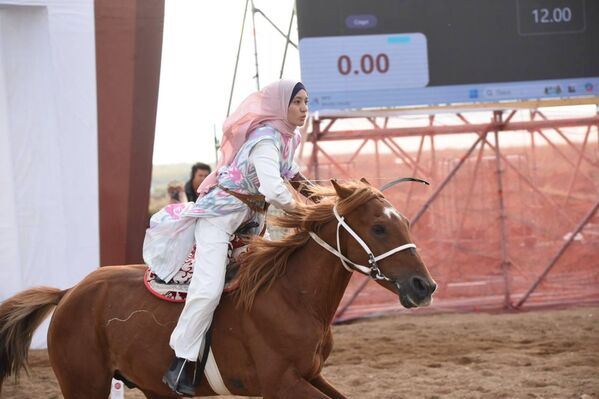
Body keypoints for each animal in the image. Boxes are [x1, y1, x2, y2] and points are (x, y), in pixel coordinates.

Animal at [2, 182, 438, 399]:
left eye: (404, 222)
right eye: (379, 227)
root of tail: (70, 292)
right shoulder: (282, 384)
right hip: (85, 386)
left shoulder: (310, 376)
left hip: (154, 390)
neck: (291, 297)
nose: (425, 285)